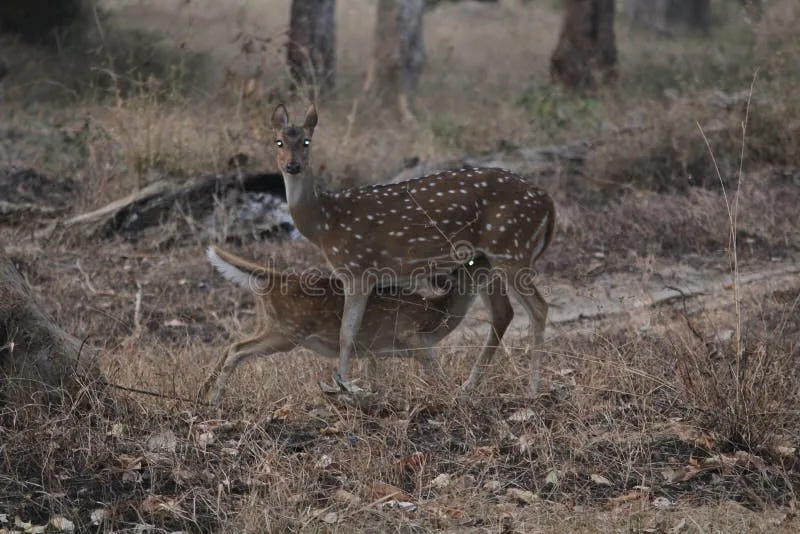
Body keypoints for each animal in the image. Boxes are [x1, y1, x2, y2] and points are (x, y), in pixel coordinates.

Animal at [203, 247, 510, 406]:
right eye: (470, 260)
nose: (491, 255)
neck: (434, 318)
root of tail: (271, 279)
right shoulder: (411, 336)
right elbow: (437, 372)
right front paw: (459, 395)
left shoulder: (372, 350)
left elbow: (373, 380)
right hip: (286, 332)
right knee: (237, 349)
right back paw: (215, 398)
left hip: (270, 326)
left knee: (232, 345)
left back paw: (203, 393)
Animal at [272, 103, 552, 398]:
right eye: (279, 141)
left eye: (307, 141)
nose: (293, 165)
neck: (325, 224)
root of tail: (546, 199)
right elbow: (364, 333)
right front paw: (367, 384)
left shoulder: (356, 268)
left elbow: (346, 334)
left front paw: (343, 385)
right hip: (487, 259)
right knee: (502, 313)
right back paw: (469, 385)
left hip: (511, 249)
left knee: (538, 308)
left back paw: (532, 389)